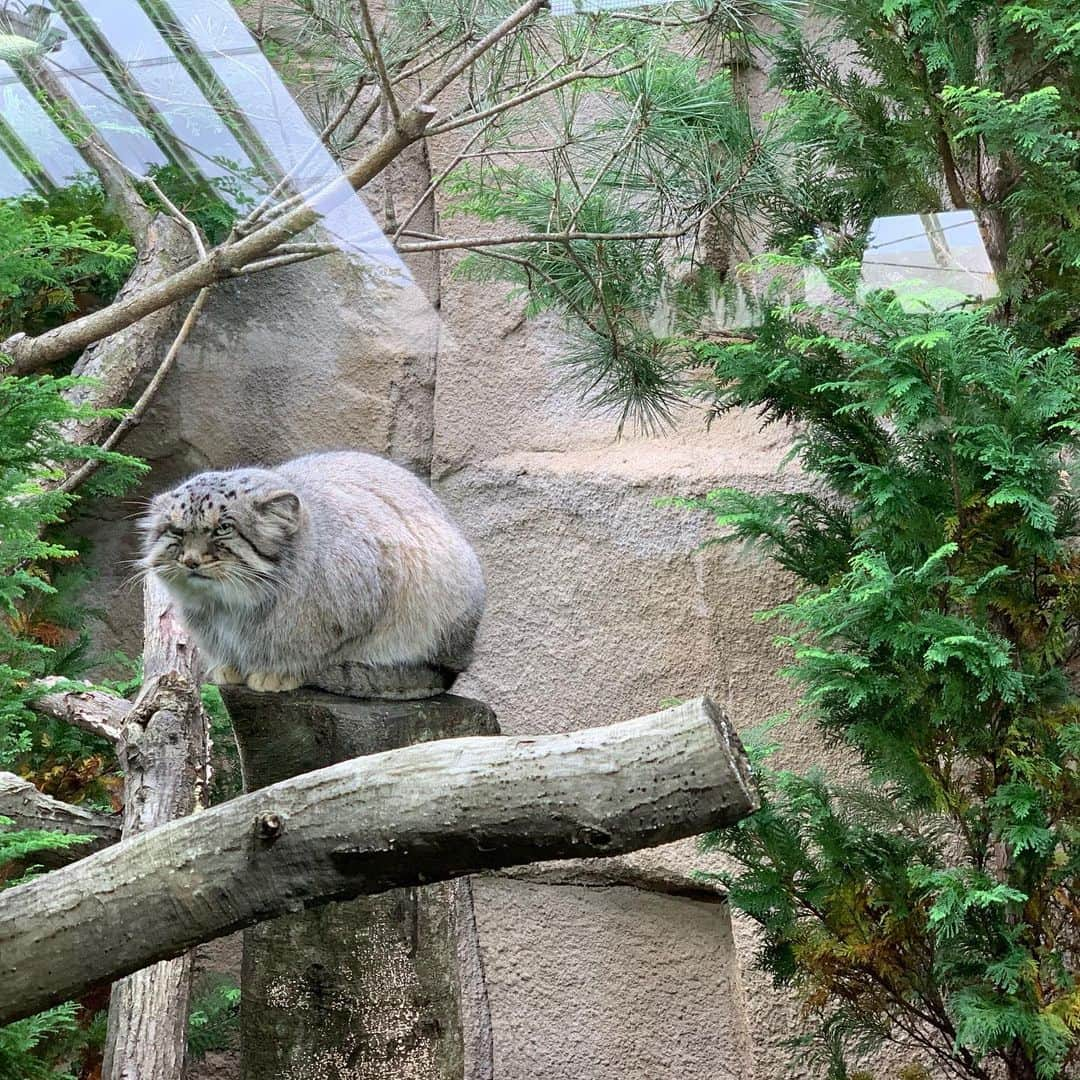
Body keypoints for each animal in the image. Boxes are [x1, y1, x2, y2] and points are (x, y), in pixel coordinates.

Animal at [140, 449, 486, 691]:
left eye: (223, 528)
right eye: (176, 531)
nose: (190, 560)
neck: (231, 607)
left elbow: (319, 655)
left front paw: (279, 673)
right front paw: (230, 668)